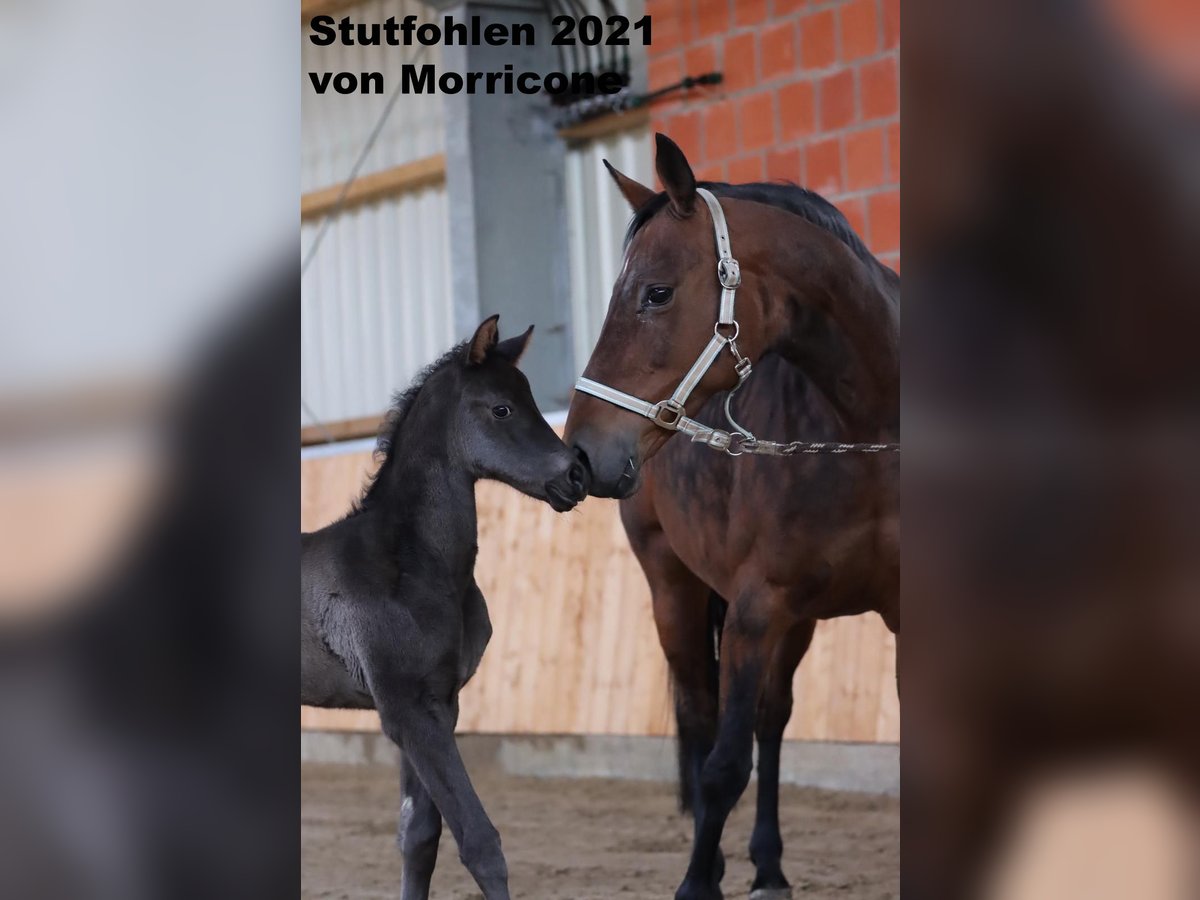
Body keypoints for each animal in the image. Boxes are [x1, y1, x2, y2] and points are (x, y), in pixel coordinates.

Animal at [302, 316, 588, 900]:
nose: (577, 477)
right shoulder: (408, 713)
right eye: (501, 409)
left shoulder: (441, 704)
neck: (416, 563)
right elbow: (479, 842)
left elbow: (419, 837)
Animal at [564, 135, 902, 900]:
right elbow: (721, 766)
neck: (867, 437)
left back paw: (769, 865)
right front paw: (697, 884)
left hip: (798, 619)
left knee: (771, 721)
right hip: (675, 590)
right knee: (699, 713)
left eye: (656, 292)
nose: (583, 451)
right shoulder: (754, 608)